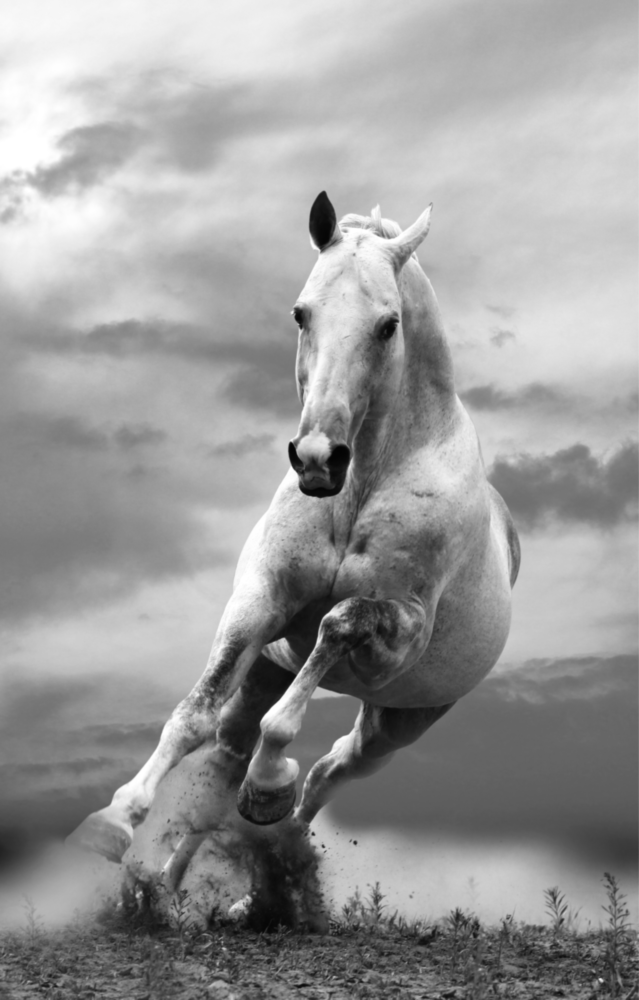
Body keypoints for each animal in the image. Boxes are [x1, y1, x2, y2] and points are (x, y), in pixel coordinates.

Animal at [69, 191, 520, 888]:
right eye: (300, 313)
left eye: (388, 325)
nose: (316, 459)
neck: (360, 486)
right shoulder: (260, 601)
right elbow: (193, 713)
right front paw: (113, 821)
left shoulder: (399, 636)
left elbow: (335, 628)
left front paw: (268, 782)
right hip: (268, 673)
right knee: (225, 759)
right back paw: (170, 888)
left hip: (397, 723)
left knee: (330, 772)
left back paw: (263, 847)